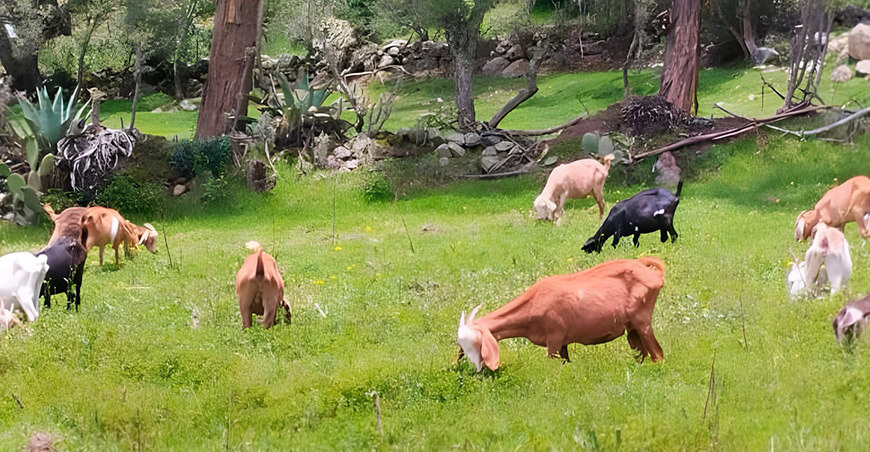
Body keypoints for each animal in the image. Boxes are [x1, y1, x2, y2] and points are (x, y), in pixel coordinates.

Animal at [456, 257, 665, 371]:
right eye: (461, 345)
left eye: (474, 343)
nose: (476, 367)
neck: (533, 302)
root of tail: (653, 274)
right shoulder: (564, 341)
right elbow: (565, 363)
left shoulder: (555, 335)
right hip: (631, 327)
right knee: (641, 353)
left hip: (642, 320)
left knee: (658, 354)